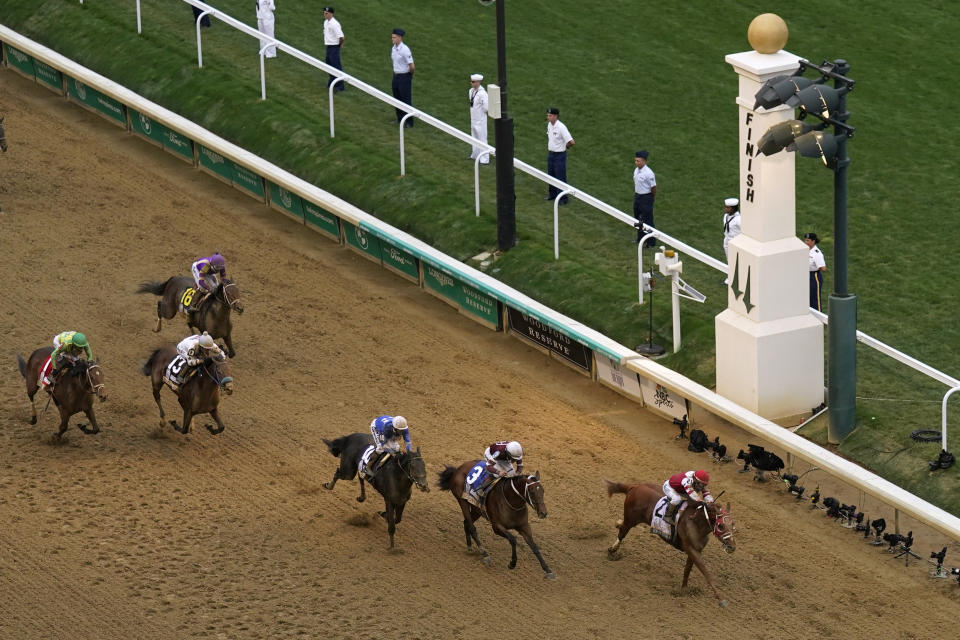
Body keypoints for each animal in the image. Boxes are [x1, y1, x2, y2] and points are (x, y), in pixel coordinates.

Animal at [608, 482, 736, 608]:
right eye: (721, 526)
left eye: (733, 524)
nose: (732, 547)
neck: (696, 523)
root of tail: (634, 487)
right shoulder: (691, 549)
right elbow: (706, 572)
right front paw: (721, 599)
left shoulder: (695, 550)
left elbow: (687, 570)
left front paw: (683, 589)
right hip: (631, 519)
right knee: (622, 532)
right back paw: (612, 550)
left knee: (621, 527)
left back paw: (617, 526)